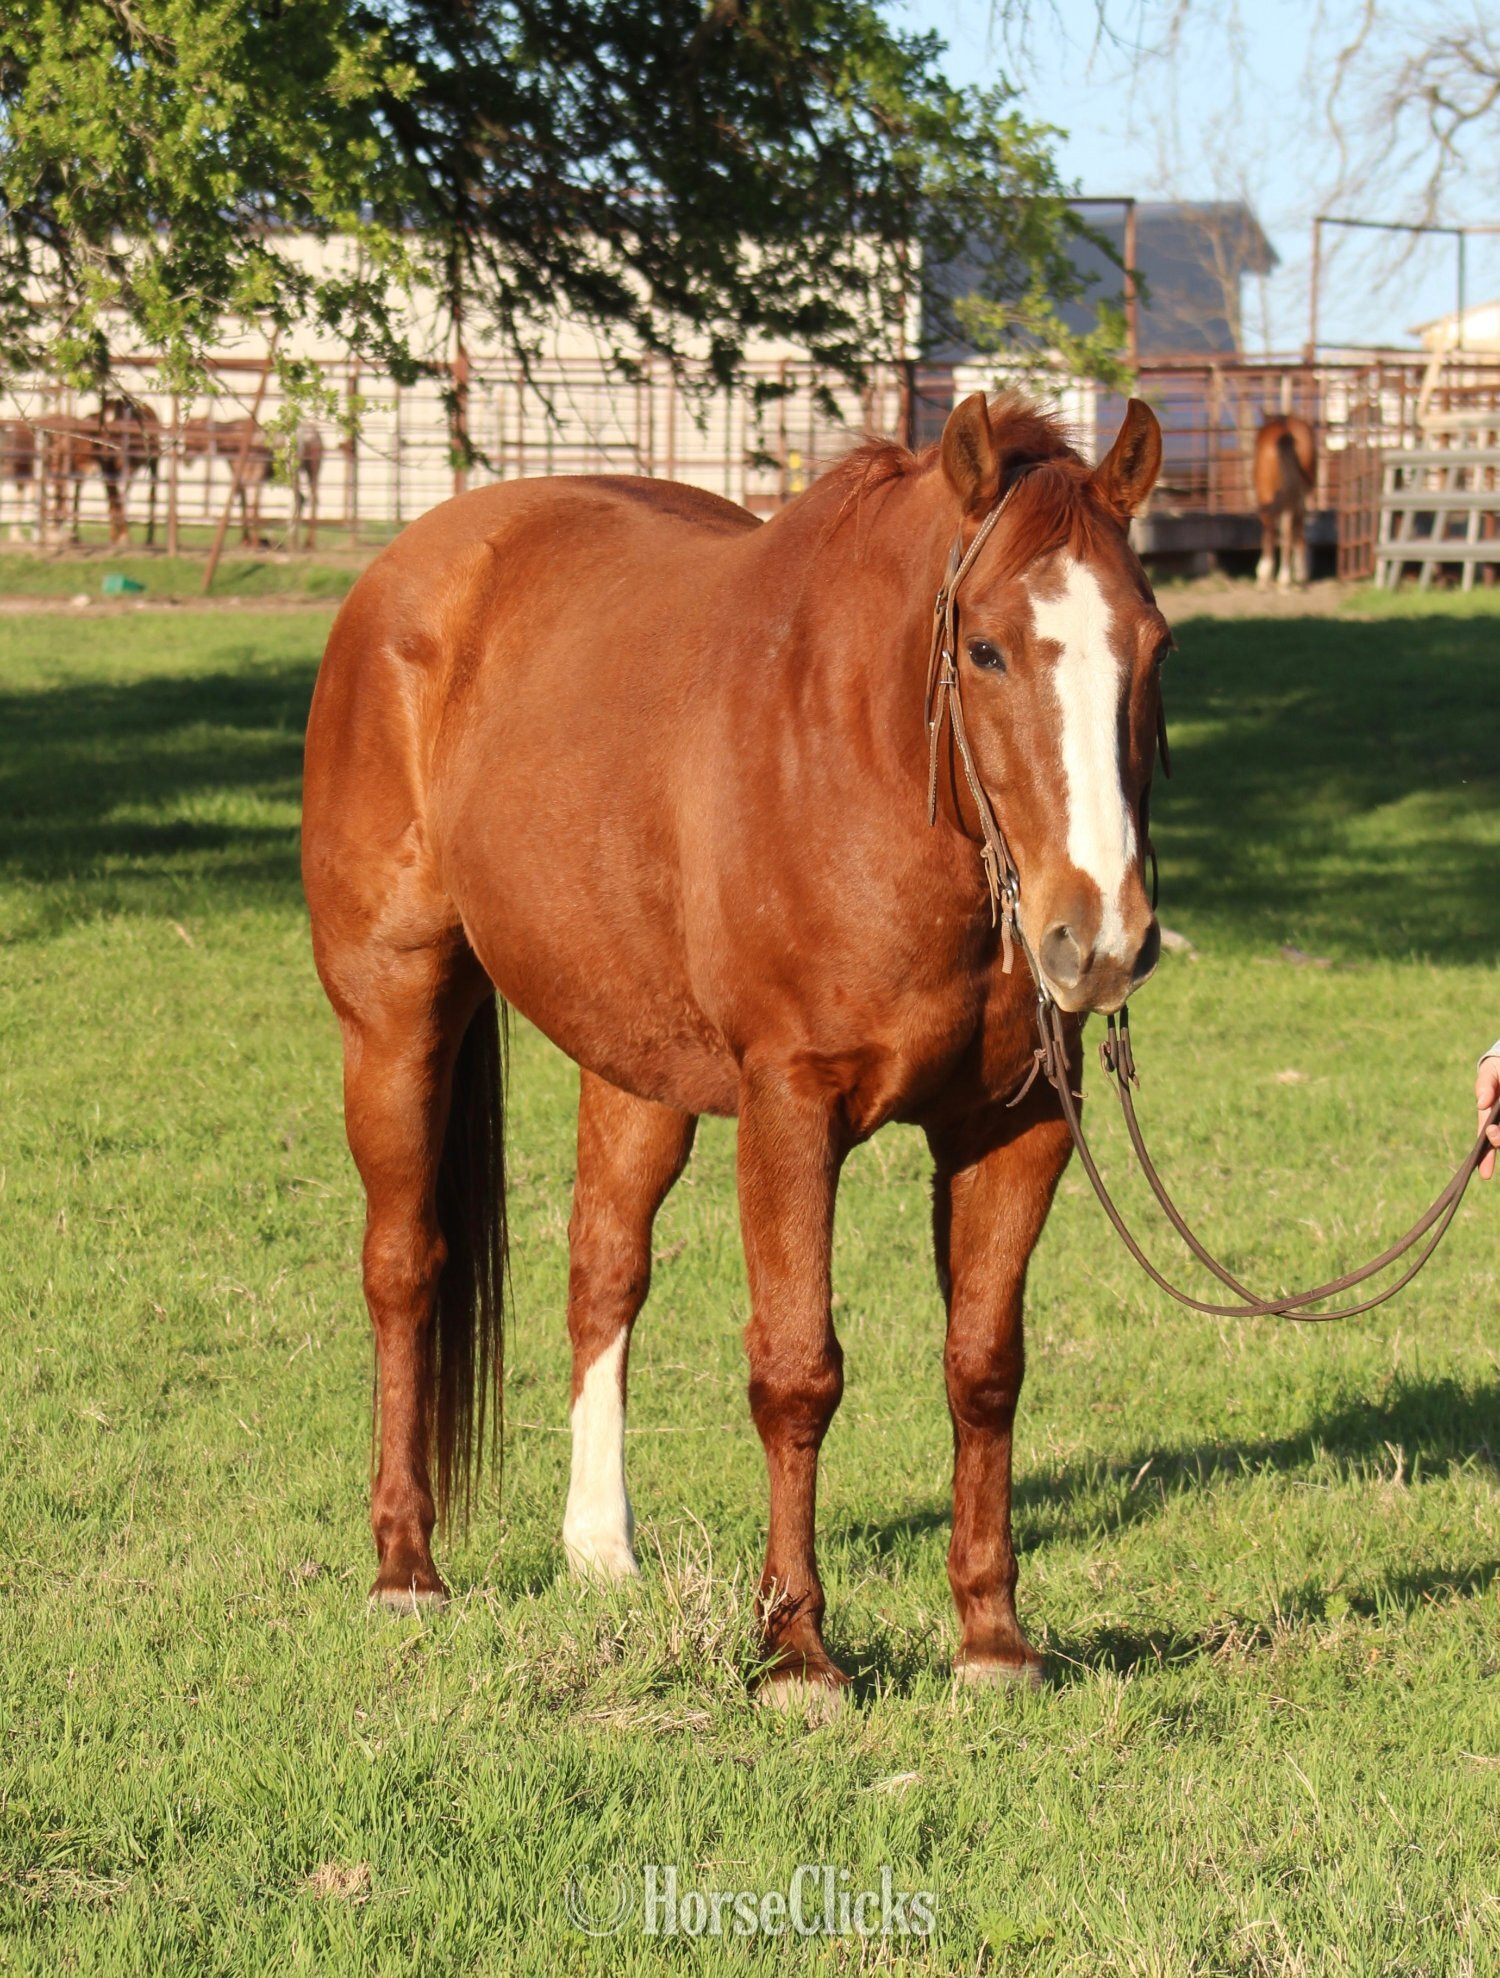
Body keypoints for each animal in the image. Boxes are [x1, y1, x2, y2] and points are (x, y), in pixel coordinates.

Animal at [301, 392, 1169, 1703]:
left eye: (1155, 646)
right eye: (987, 651)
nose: (1100, 934)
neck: (867, 763)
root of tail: (417, 565)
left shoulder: (1011, 1126)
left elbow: (983, 1366)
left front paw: (992, 1639)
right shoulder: (792, 1107)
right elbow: (797, 1371)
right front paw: (796, 1650)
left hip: (633, 1065)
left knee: (603, 1269)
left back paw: (599, 1549)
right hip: (397, 1011)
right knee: (403, 1266)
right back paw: (408, 1567)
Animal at [1253, 413, 1315, 590]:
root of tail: (1285, 430)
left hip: (1267, 495)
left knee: (1275, 528)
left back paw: (1274, 577)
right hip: (1296, 497)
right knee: (1292, 529)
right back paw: (1291, 577)